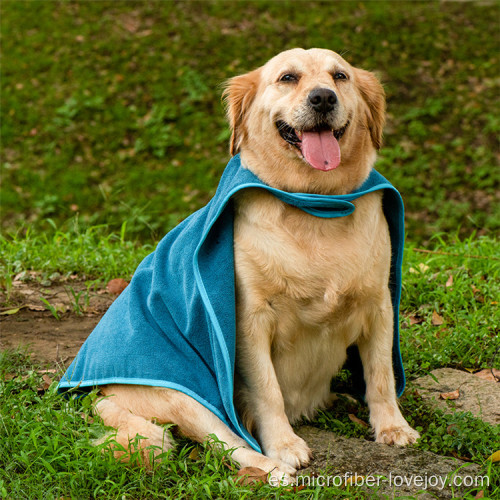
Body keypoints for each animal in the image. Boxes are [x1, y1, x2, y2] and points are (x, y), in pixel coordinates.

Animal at [95, 48, 420, 482]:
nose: (323, 98)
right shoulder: (250, 320)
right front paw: (284, 446)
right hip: (184, 396)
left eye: (340, 76)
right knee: (228, 442)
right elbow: (268, 392)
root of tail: (101, 392)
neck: (315, 205)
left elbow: (381, 376)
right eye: (287, 77)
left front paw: (392, 427)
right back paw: (273, 468)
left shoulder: (379, 305)